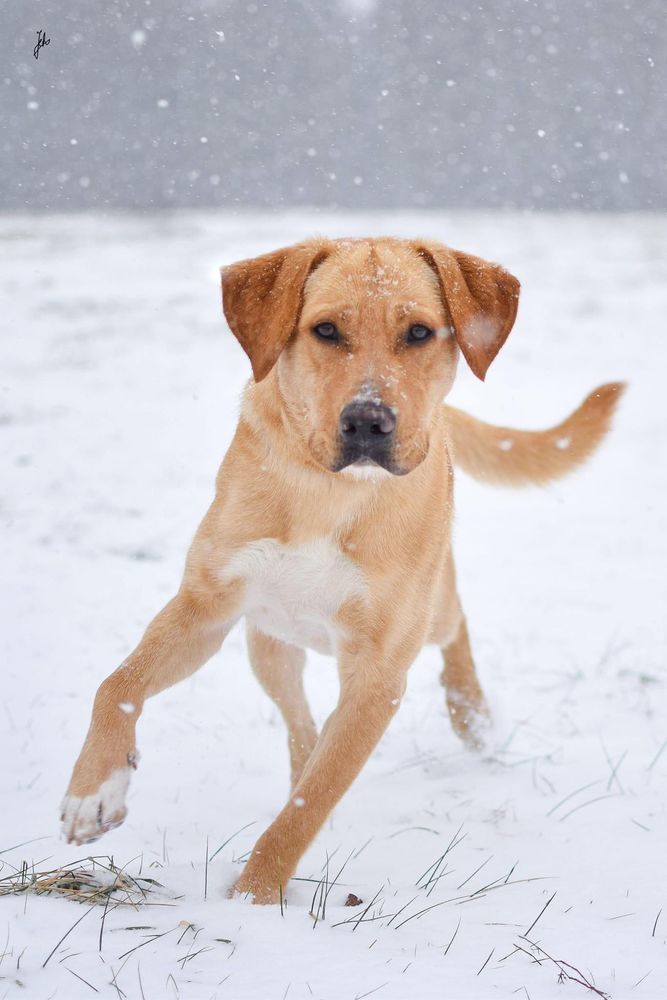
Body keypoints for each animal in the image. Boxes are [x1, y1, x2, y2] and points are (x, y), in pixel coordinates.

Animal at [60, 238, 624, 904]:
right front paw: (94, 793)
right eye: (326, 329)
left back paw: (474, 718)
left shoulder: (378, 677)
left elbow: (309, 806)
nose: (368, 422)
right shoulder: (207, 607)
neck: (331, 490)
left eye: (419, 331)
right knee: (302, 729)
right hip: (268, 642)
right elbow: (117, 684)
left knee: (453, 626)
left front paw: (251, 901)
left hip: (424, 614)